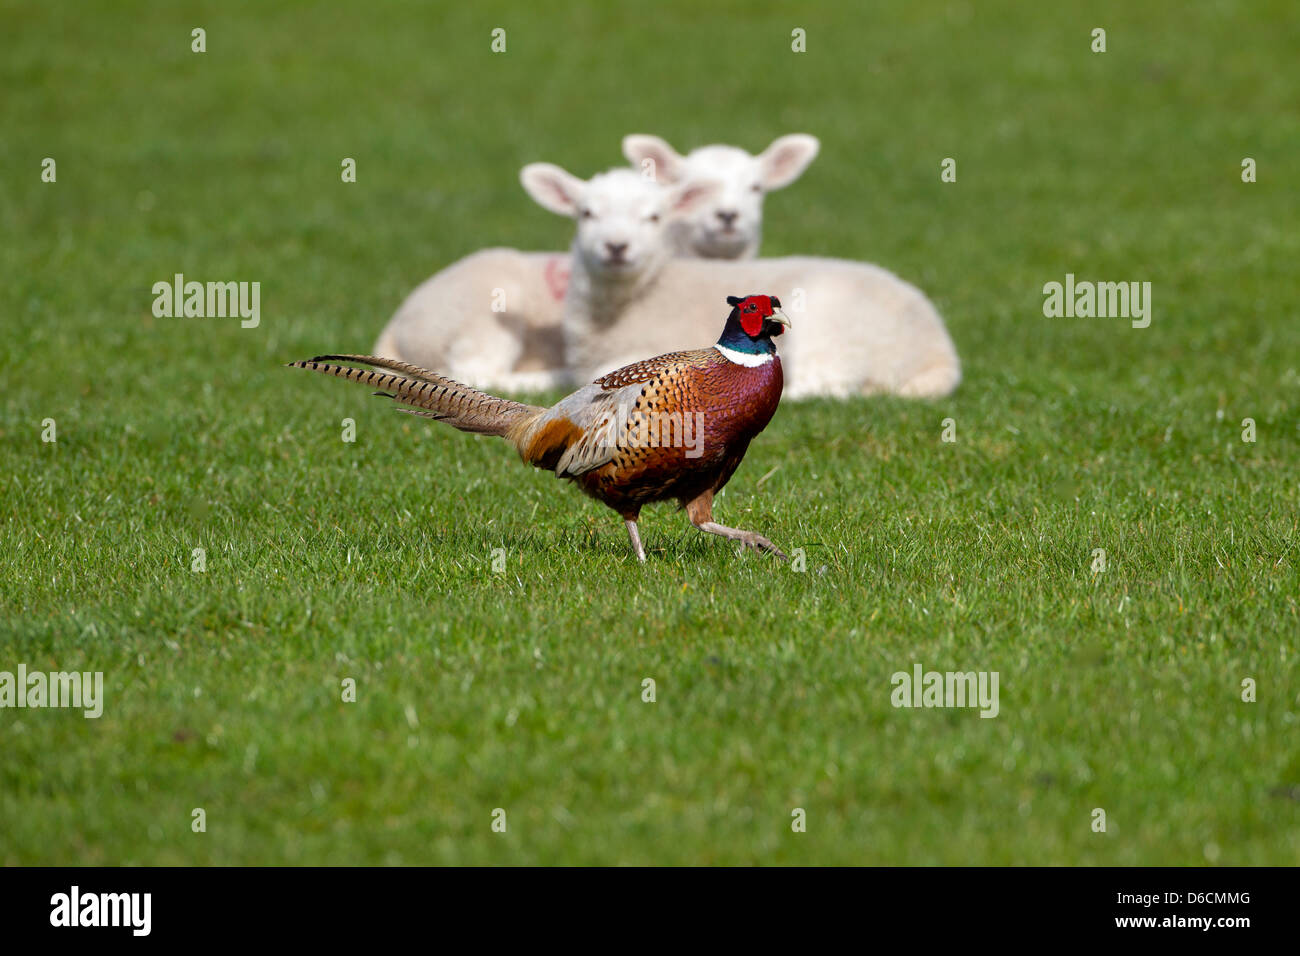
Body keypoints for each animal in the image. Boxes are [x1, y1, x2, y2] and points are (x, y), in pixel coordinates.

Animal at [366, 133, 816, 392]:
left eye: (756, 188)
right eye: (586, 213)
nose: (727, 216)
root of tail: (397, 321)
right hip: (484, 320)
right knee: (474, 371)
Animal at [520, 162, 967, 398]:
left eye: (654, 217)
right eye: (586, 213)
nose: (616, 247)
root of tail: (937, 348)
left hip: (832, 333)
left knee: (826, 386)